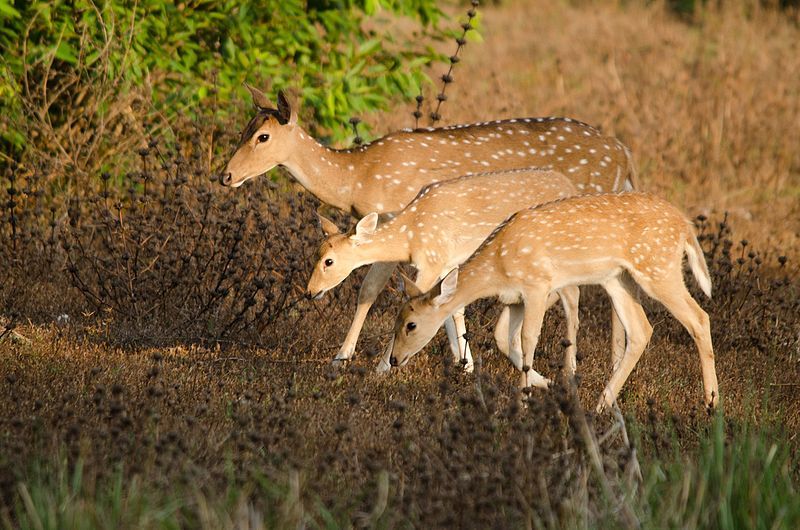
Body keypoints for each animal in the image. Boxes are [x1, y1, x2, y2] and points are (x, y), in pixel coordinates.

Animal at [306, 167, 580, 370]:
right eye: (316, 253)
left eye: (329, 261)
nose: (309, 292)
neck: (410, 236)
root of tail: (572, 186)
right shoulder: (447, 262)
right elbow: (454, 307)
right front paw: (466, 364)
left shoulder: (431, 260)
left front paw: (381, 369)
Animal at [388, 192, 720, 410]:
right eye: (396, 319)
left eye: (411, 325)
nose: (393, 359)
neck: (497, 266)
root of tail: (686, 225)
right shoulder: (515, 298)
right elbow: (502, 337)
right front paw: (549, 385)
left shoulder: (537, 285)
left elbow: (528, 338)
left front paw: (523, 402)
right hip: (617, 278)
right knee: (641, 330)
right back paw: (602, 405)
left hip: (657, 267)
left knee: (699, 317)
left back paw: (711, 403)